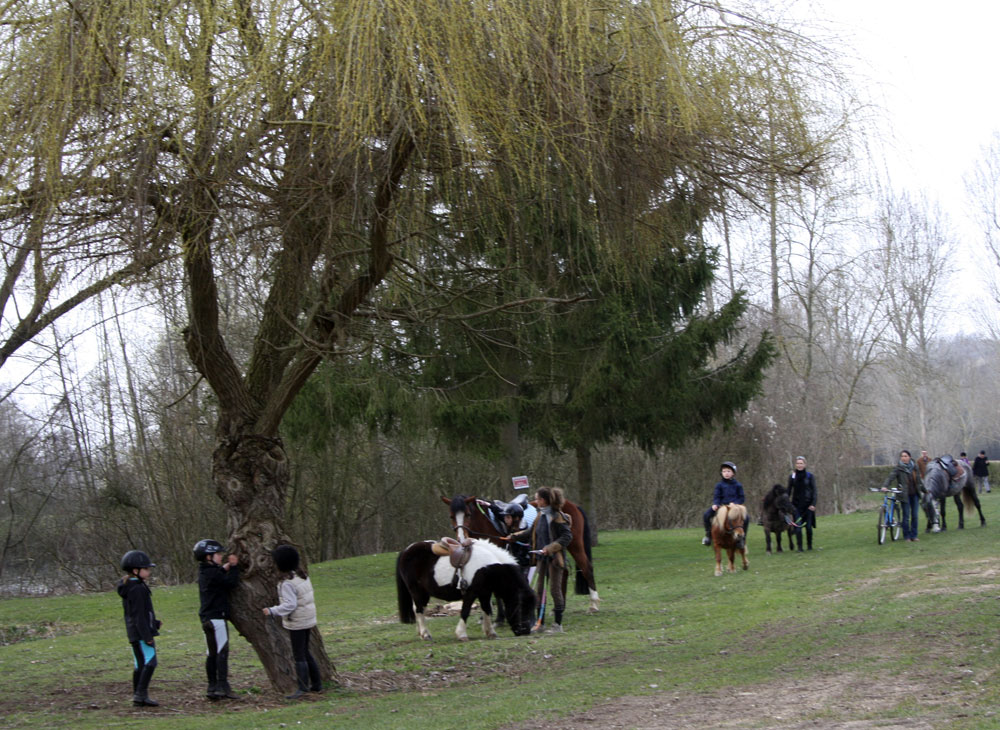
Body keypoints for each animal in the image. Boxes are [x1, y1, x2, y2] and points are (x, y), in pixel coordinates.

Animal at [396, 536, 540, 636]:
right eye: (521, 606)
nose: (525, 631)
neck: (488, 567)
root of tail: (406, 550)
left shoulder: (485, 593)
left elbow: (487, 610)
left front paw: (490, 632)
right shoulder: (471, 593)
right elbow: (465, 611)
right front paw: (461, 634)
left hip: (422, 593)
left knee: (417, 609)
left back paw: (420, 632)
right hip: (416, 590)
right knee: (419, 609)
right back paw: (425, 634)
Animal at [442, 494, 596, 608]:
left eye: (468, 514)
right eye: (451, 516)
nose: (461, 538)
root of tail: (573, 505)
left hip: (575, 545)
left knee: (586, 568)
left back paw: (593, 604)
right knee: (563, 572)